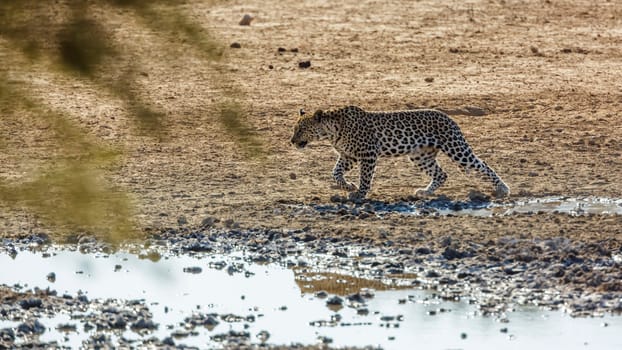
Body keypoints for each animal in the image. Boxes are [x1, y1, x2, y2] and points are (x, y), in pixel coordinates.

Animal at [292, 105, 512, 200]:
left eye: (301, 129)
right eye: (295, 129)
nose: (292, 141)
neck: (331, 132)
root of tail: (449, 118)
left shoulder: (368, 154)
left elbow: (366, 177)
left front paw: (360, 193)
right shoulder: (349, 156)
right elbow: (335, 173)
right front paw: (348, 186)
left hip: (456, 149)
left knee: (482, 164)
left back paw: (503, 188)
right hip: (420, 156)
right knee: (441, 174)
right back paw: (425, 192)